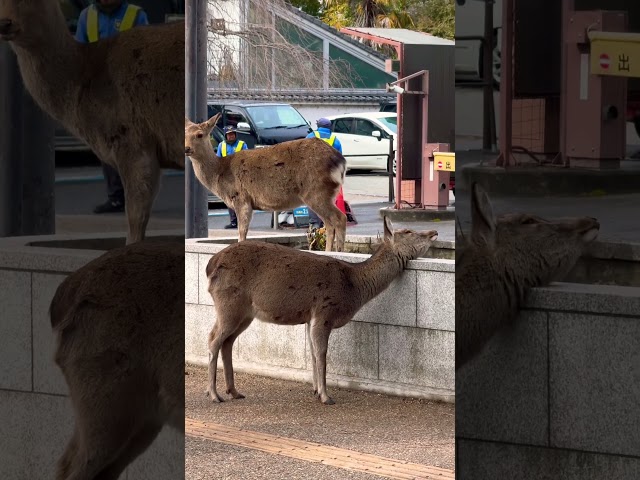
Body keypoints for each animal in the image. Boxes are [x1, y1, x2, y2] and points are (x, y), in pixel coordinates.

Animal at [184, 114, 348, 251]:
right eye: (184, 134)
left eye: (199, 134)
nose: (186, 148)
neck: (220, 174)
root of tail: (340, 161)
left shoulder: (241, 198)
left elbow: (242, 233)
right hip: (324, 193)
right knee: (330, 223)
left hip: (316, 191)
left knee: (339, 218)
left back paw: (334, 252)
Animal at [204, 217, 438, 405]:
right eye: (408, 231)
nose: (433, 232)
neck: (354, 287)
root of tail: (210, 266)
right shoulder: (324, 311)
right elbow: (322, 354)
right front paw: (326, 396)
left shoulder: (310, 318)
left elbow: (313, 353)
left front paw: (316, 390)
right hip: (229, 303)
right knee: (213, 339)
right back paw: (214, 394)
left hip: (245, 313)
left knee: (227, 342)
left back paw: (234, 391)